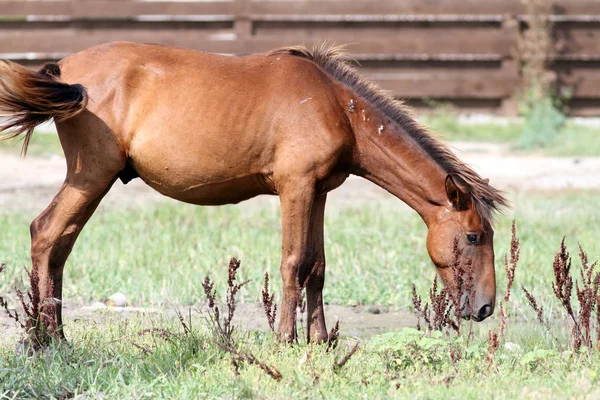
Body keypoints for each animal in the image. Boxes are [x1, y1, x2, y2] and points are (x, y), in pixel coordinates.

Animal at [0, 43, 508, 344]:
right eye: (474, 236)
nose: (485, 307)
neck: (334, 106)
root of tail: (63, 70)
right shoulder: (295, 188)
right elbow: (293, 264)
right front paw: (284, 340)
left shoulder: (319, 192)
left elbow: (317, 267)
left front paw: (318, 341)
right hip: (92, 176)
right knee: (47, 234)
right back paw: (46, 340)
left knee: (59, 245)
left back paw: (52, 336)